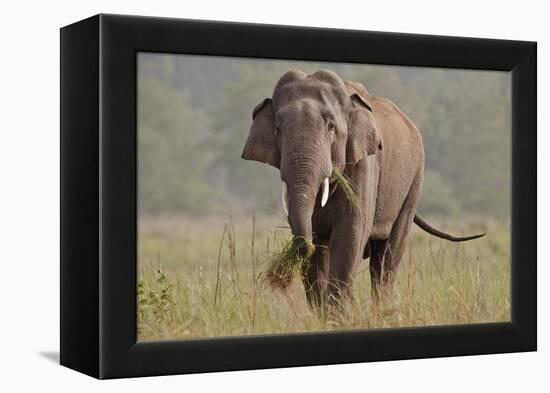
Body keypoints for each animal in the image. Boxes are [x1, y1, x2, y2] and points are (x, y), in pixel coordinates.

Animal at [242, 69, 484, 306]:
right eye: (278, 129)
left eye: (331, 127)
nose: (300, 248)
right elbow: (317, 242)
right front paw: (323, 311)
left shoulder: (366, 165)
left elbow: (352, 229)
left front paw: (339, 311)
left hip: (415, 180)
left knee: (388, 257)